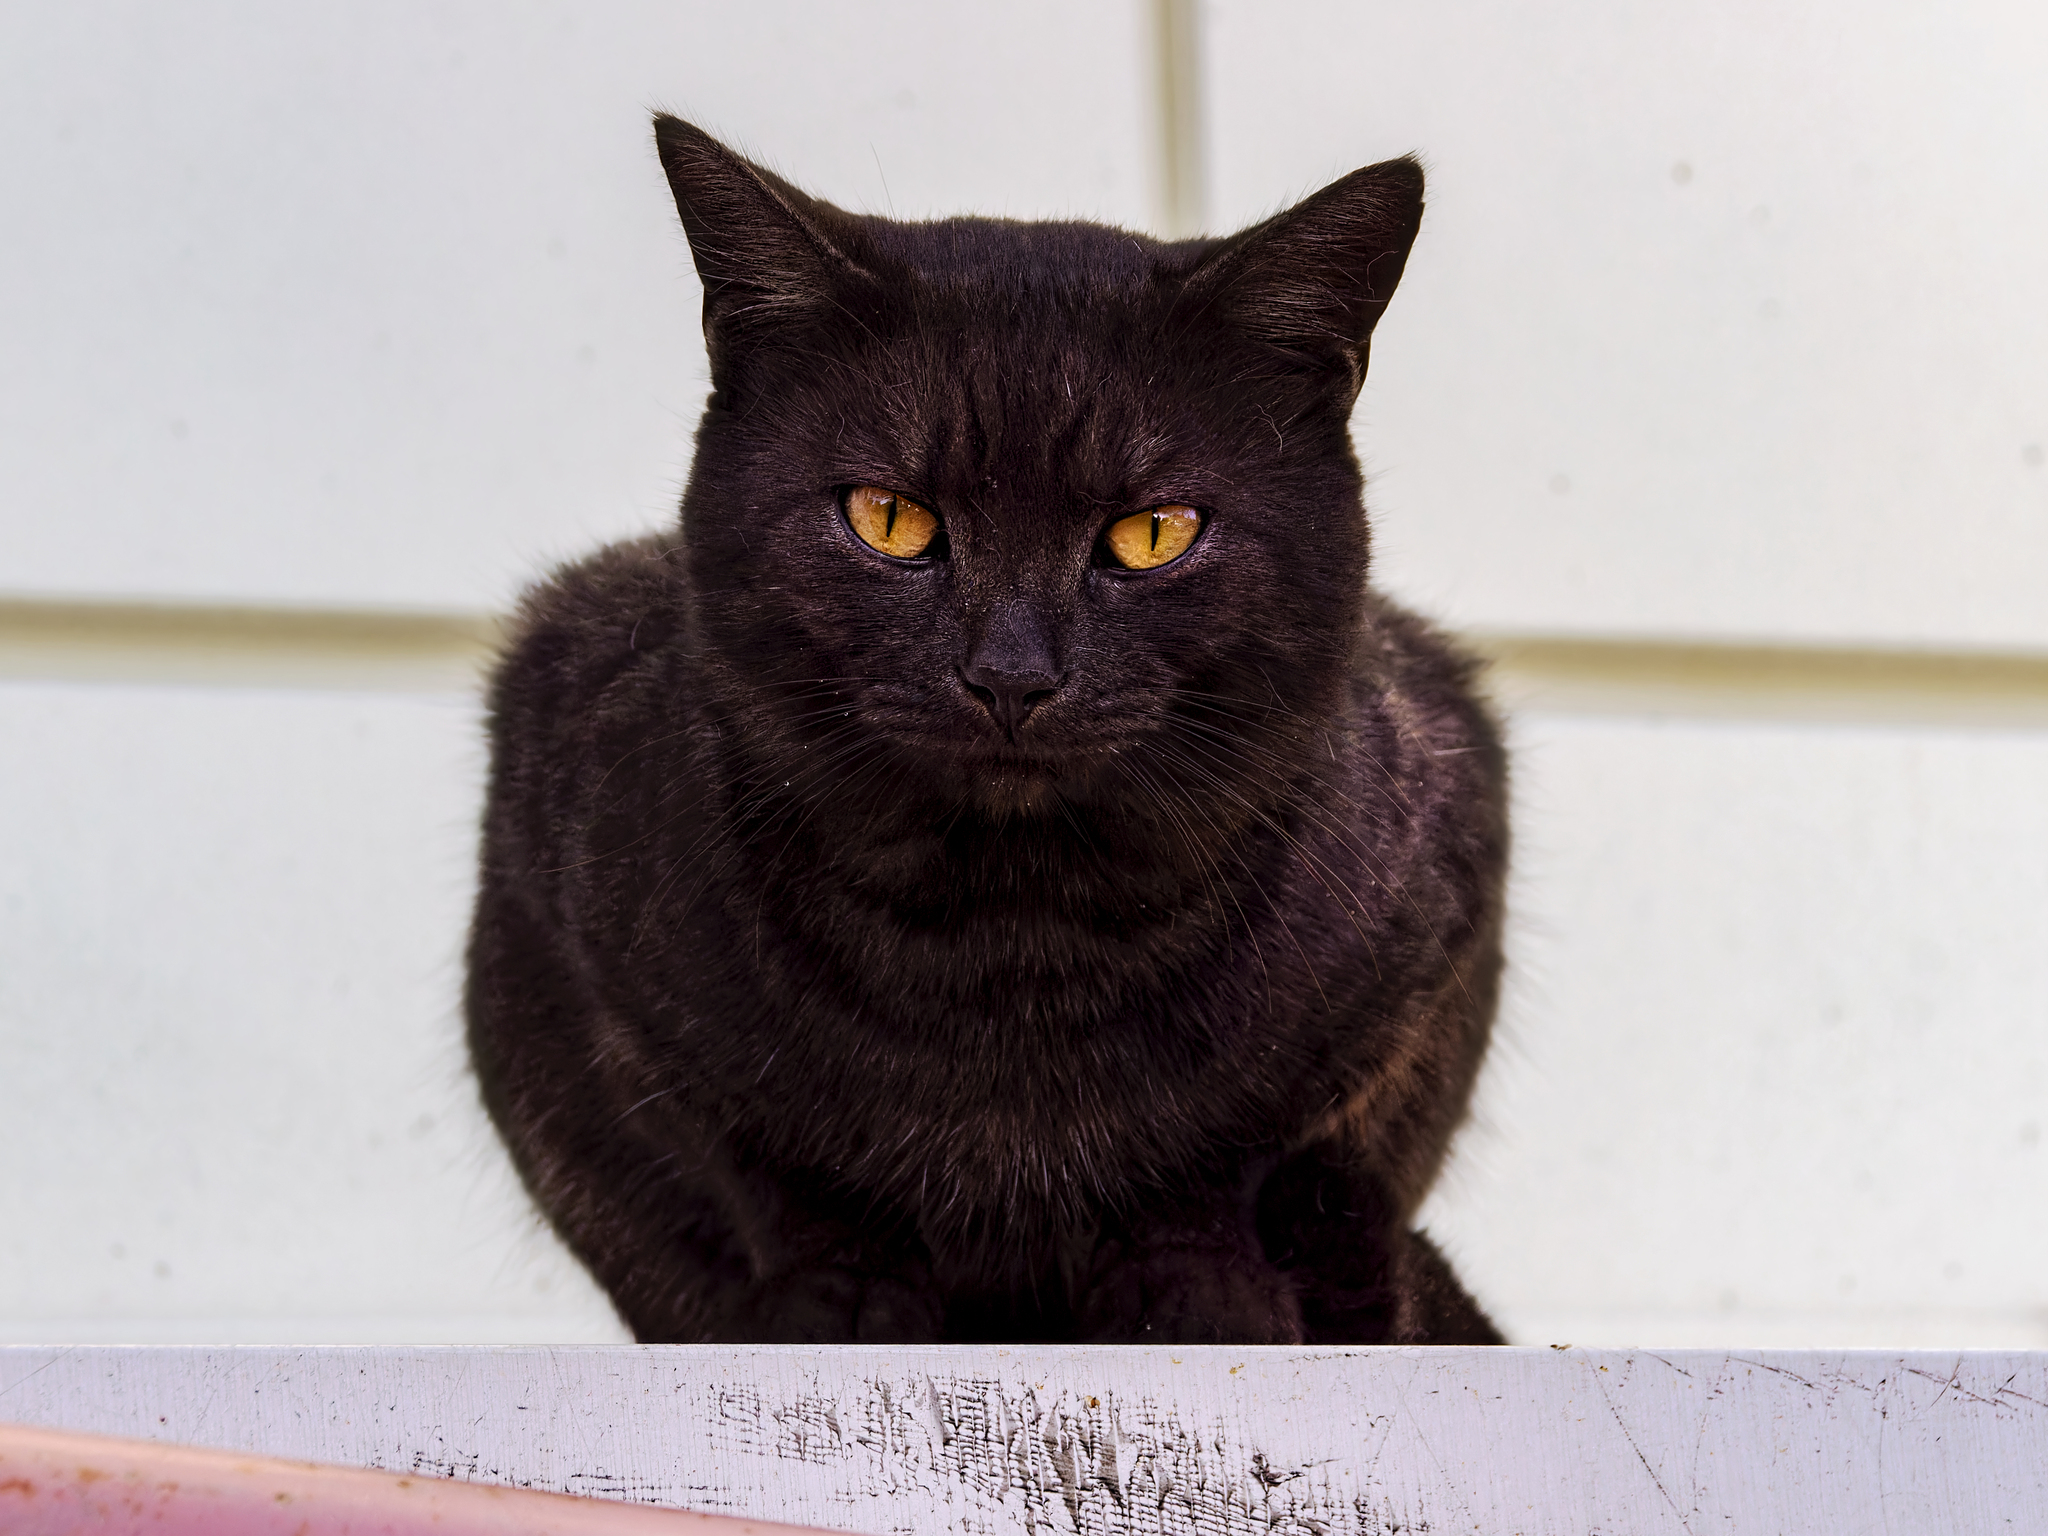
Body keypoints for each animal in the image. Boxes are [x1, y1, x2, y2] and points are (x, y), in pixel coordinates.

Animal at [471, 117, 1515, 1343]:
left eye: (1153, 532)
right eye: (888, 518)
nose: (1010, 674)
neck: (1007, 954)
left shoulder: (1439, 873)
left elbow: (1245, 1153)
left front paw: (1196, 1295)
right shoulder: (569, 913)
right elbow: (759, 1162)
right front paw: (843, 1304)